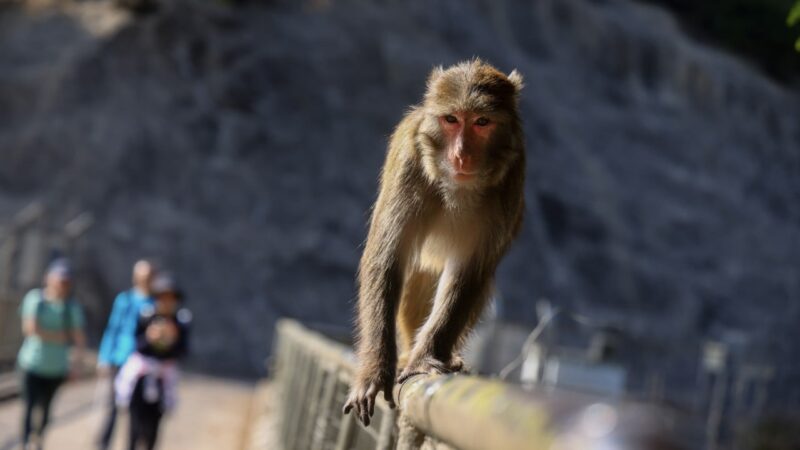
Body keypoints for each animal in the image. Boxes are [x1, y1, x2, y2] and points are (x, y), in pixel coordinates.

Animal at [342, 59, 525, 427]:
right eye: (451, 120)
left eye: (482, 122)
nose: (461, 156)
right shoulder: (409, 163)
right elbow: (386, 259)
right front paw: (374, 372)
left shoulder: (511, 178)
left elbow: (470, 271)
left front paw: (426, 358)